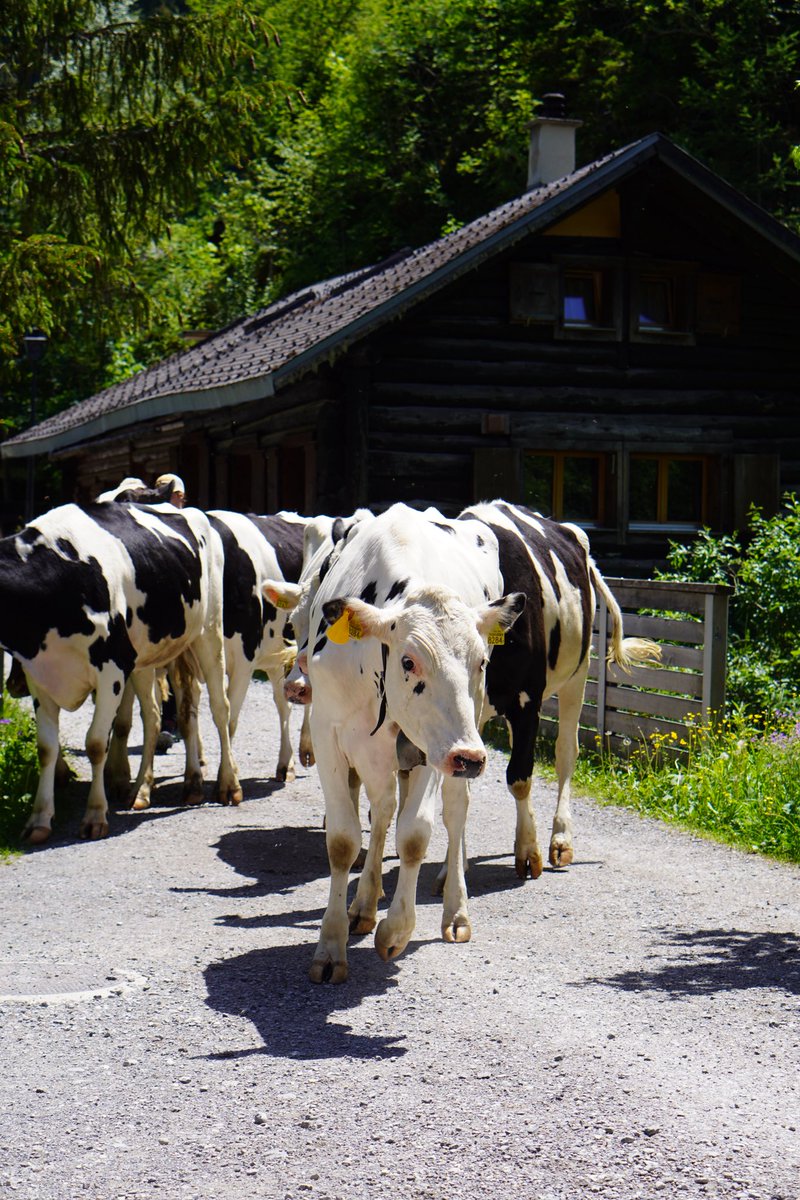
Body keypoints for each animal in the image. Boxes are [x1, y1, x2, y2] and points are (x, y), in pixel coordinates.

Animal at [0, 501, 240, 843]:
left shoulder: (111, 669)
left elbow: (96, 743)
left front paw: (95, 815)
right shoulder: (41, 677)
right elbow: (46, 748)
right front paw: (39, 820)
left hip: (209, 632)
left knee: (221, 709)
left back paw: (229, 785)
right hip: (147, 657)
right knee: (155, 717)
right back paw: (142, 791)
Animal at [303, 503, 525, 983]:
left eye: (481, 661)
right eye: (408, 661)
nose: (470, 757)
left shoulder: (430, 748)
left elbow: (414, 836)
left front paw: (395, 931)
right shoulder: (327, 733)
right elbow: (344, 840)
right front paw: (331, 945)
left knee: (453, 812)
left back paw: (455, 910)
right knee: (383, 809)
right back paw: (364, 904)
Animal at [462, 501, 661, 879]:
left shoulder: (527, 698)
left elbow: (520, 776)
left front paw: (529, 853)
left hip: (576, 678)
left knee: (566, 754)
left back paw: (560, 840)